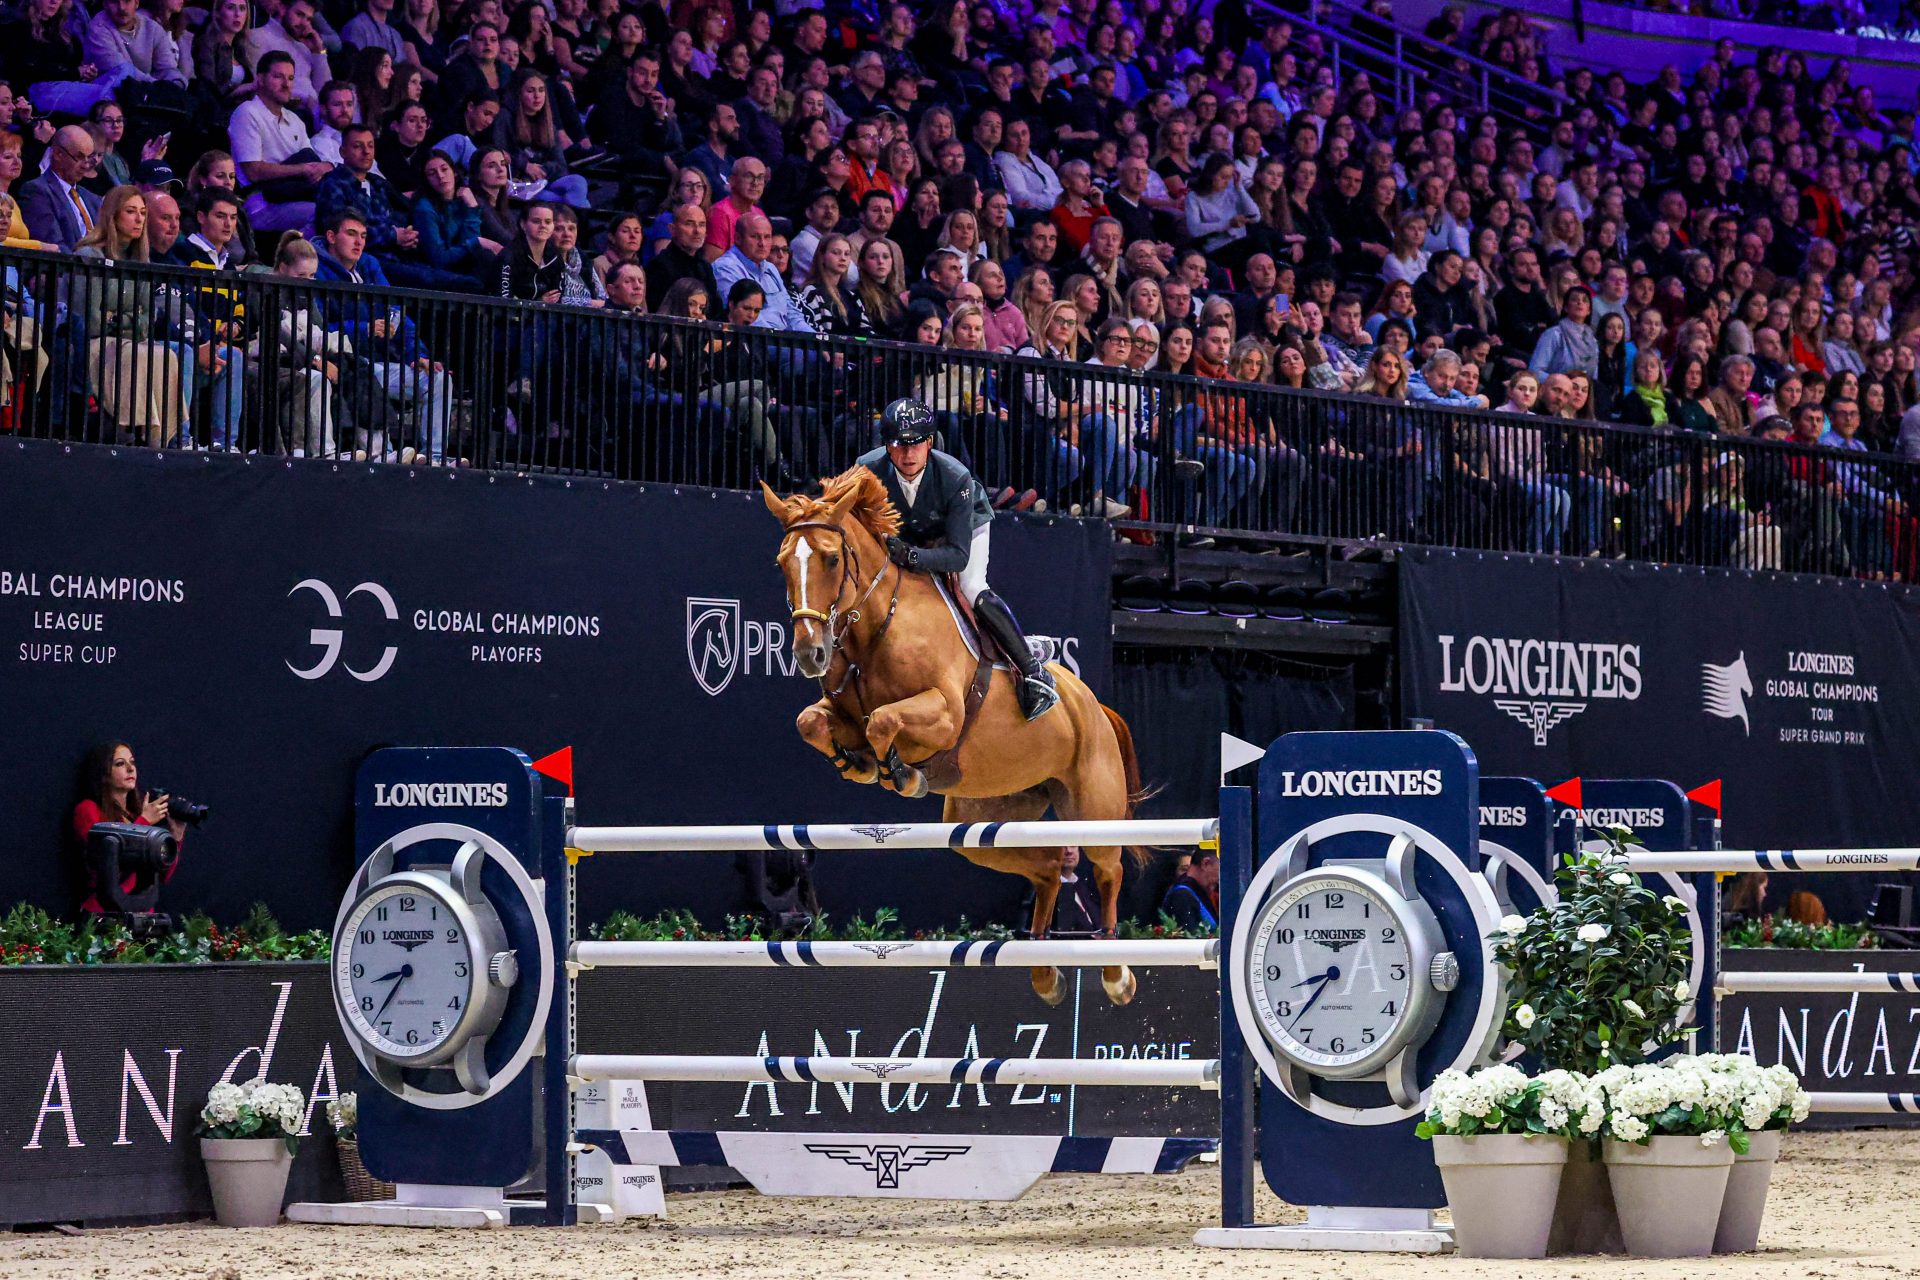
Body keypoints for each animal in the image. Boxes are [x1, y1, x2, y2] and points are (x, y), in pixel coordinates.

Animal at [761, 467, 1149, 1006]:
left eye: (832, 558)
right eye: (782, 563)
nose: (809, 654)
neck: (877, 626)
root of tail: (1092, 703)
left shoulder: (944, 713)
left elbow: (884, 722)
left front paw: (901, 774)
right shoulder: (840, 712)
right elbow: (813, 723)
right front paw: (860, 764)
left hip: (1092, 804)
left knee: (1109, 870)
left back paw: (1115, 975)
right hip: (983, 823)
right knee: (1050, 866)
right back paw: (1045, 974)